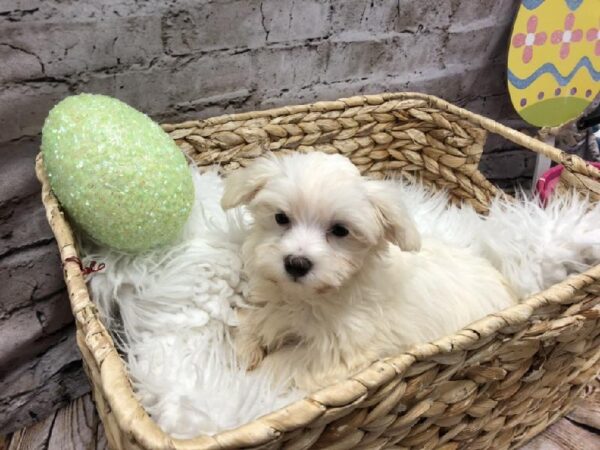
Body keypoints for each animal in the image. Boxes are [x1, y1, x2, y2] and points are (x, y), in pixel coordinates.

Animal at [220, 151, 516, 390]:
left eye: (340, 230)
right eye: (281, 218)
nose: (296, 263)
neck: (307, 296)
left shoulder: (337, 350)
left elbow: (283, 364)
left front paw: (249, 381)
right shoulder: (270, 302)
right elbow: (251, 320)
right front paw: (243, 351)